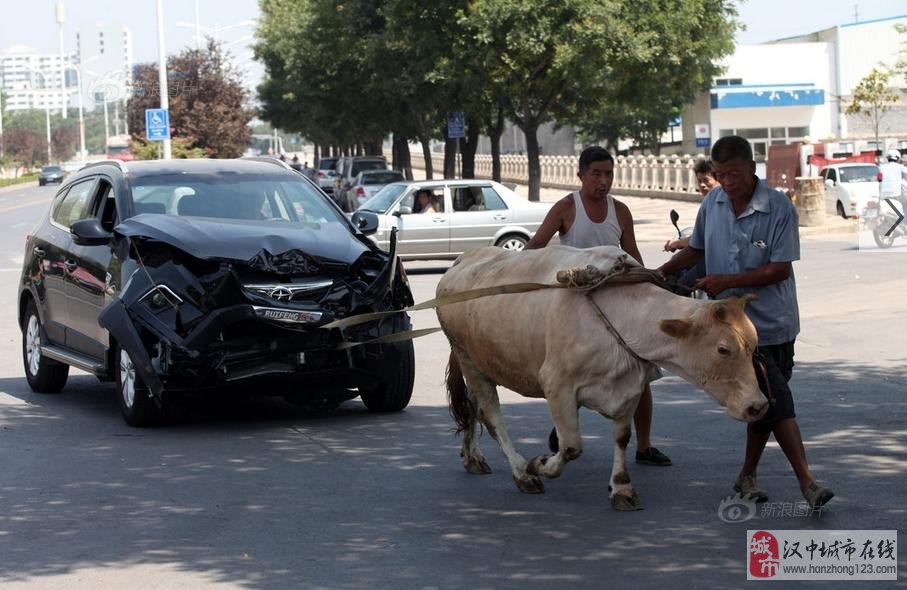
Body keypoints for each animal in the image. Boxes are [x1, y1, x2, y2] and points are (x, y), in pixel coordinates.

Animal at [436, 245, 768, 512]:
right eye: (723, 349)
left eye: (754, 344)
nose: (758, 405)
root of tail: (464, 259)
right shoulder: (557, 385)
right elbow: (571, 446)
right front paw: (540, 464)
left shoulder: (631, 387)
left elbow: (622, 437)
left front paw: (621, 488)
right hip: (469, 360)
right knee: (492, 417)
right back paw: (522, 473)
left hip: (479, 364)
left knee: (471, 407)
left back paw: (472, 457)